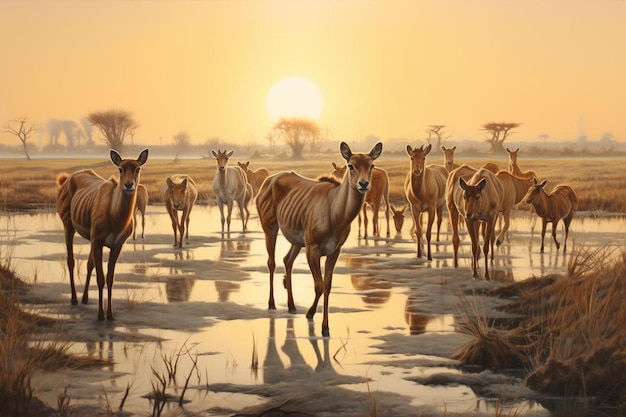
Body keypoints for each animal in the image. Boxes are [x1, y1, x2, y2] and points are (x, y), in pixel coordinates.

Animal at [56, 148, 149, 320]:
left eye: (138, 168)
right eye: (120, 168)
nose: (129, 185)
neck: (114, 217)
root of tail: (65, 179)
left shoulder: (116, 245)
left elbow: (109, 278)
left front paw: (110, 315)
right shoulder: (98, 241)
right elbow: (100, 278)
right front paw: (100, 315)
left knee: (89, 264)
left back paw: (85, 298)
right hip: (68, 226)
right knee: (71, 261)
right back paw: (74, 299)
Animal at [255, 141, 380, 336]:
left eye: (371, 165)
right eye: (351, 165)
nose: (364, 184)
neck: (335, 213)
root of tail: (268, 182)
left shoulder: (334, 251)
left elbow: (327, 285)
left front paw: (325, 327)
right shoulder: (313, 249)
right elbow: (319, 285)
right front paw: (310, 314)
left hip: (297, 241)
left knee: (287, 260)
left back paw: (292, 306)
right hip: (270, 228)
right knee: (272, 262)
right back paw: (272, 304)